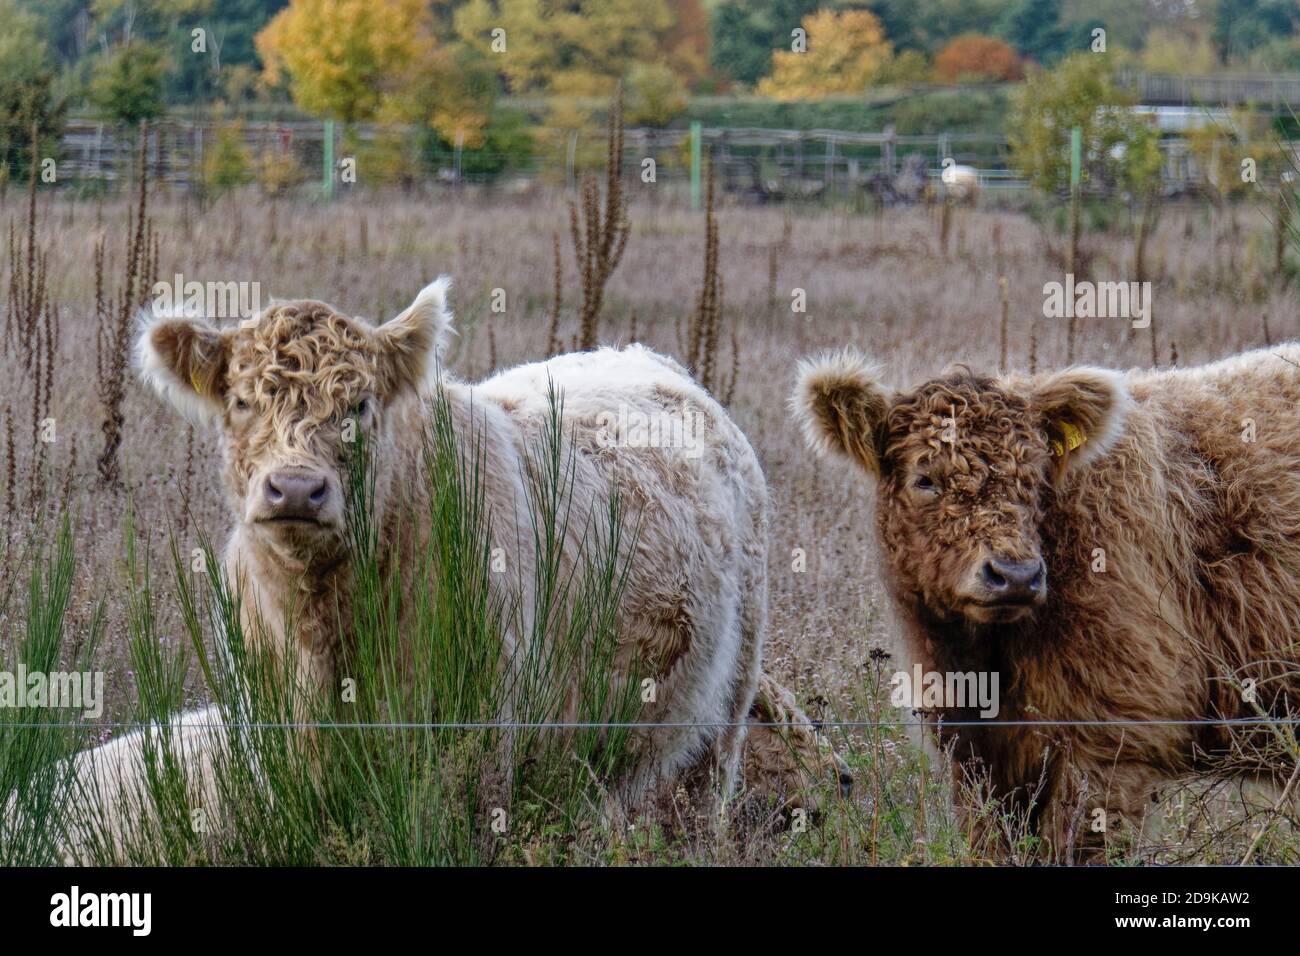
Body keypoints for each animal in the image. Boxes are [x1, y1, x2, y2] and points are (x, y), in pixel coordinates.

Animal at [790, 348, 1300, 863]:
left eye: (1033, 478)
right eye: (925, 479)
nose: (1014, 574)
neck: (985, 662)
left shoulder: (1111, 738)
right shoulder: (976, 756)